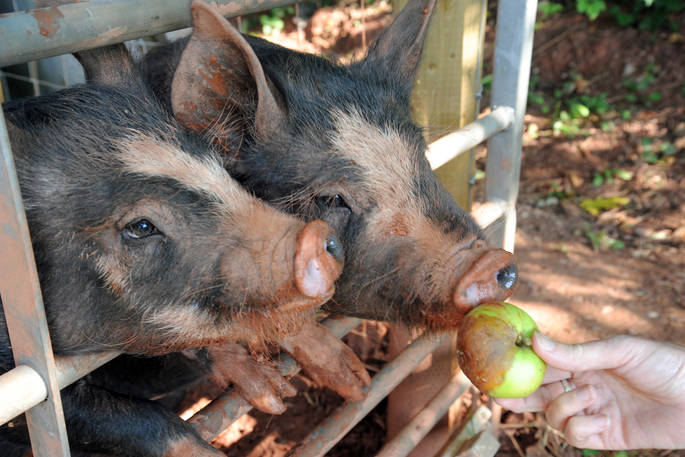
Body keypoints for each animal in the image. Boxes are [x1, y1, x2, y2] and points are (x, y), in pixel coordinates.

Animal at [0, 51, 344, 456]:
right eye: (141, 226)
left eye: (220, 169)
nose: (319, 235)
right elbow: (130, 419)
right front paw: (274, 400)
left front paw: (288, 392)